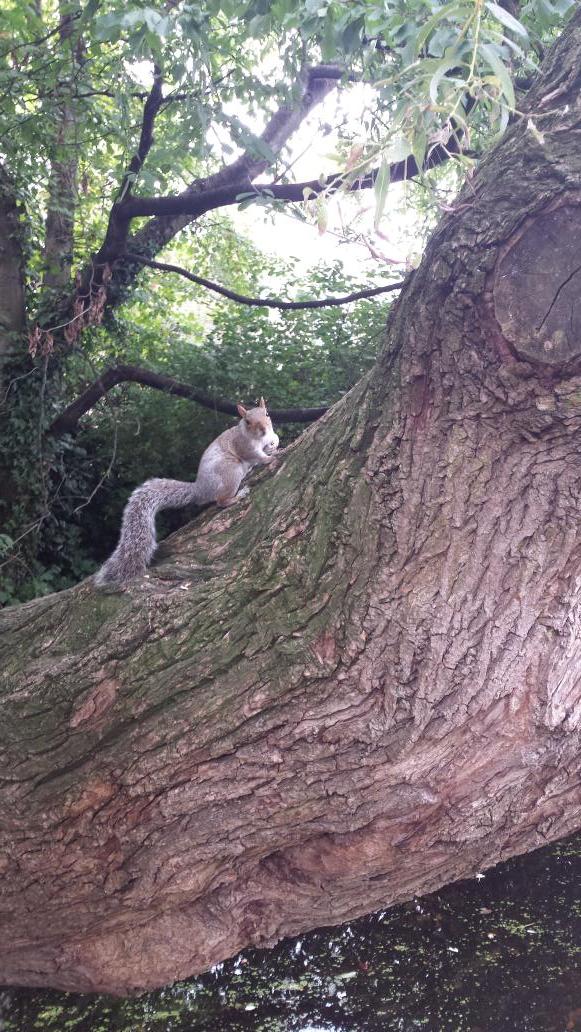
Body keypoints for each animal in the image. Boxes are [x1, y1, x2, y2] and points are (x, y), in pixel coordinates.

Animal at [95, 398, 279, 586]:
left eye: (267, 414)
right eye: (248, 422)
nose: (264, 429)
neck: (255, 437)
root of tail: (200, 489)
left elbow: (273, 440)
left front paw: (275, 444)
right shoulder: (243, 446)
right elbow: (256, 456)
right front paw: (270, 458)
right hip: (230, 471)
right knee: (221, 501)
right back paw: (237, 496)